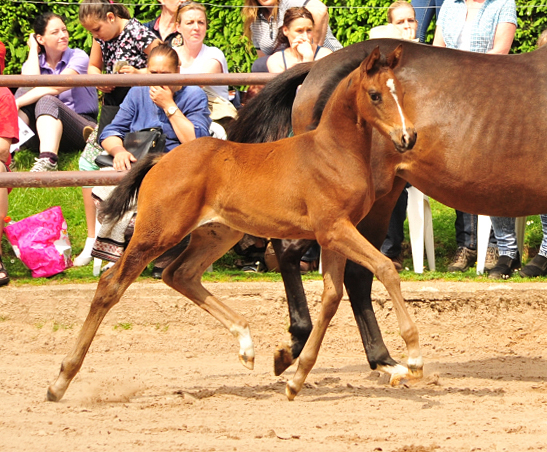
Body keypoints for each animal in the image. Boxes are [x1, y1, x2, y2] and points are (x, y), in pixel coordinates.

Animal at [49, 46, 422, 402]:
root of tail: (160, 159)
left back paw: (246, 344)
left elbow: (332, 297)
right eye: (375, 95)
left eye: (401, 92)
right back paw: (61, 380)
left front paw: (296, 379)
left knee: (179, 274)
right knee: (111, 284)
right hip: (158, 232)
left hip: (217, 234)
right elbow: (385, 268)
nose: (408, 137)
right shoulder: (335, 230)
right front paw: (413, 358)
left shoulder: (333, 235)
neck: (332, 153)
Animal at [229, 39, 547, 382]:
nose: (408, 136)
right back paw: (300, 343)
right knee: (296, 251)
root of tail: (317, 67)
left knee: (356, 274)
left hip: (373, 203)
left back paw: (379, 357)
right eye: (376, 95)